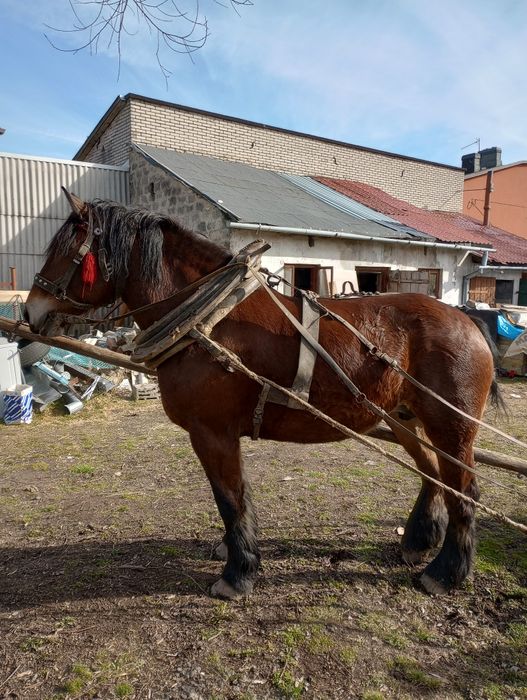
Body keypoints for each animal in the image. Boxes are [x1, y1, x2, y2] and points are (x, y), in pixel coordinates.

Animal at [23, 190, 500, 596]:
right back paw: (419, 542)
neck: (206, 321)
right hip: (404, 419)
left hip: (452, 428)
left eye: (66, 251)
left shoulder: (212, 432)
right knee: (433, 476)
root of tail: (467, 320)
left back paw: (446, 572)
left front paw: (237, 573)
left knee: (464, 490)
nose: (30, 311)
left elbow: (230, 499)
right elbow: (238, 497)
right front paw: (234, 551)